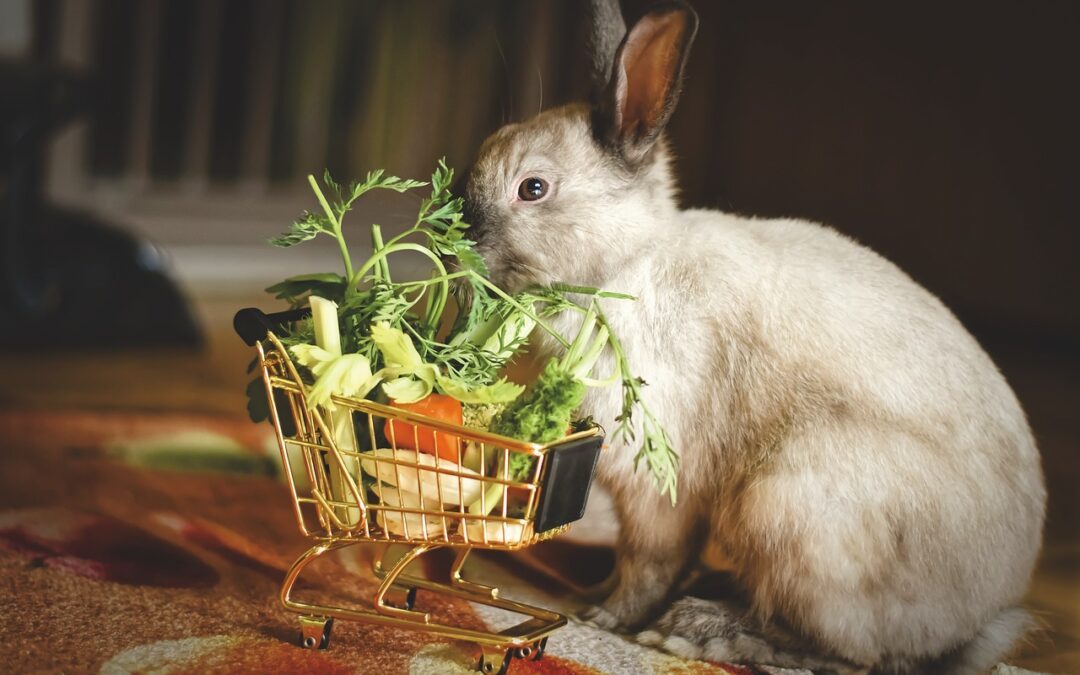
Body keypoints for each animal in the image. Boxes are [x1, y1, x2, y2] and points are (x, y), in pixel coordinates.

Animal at [457, 1, 1045, 669]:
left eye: (533, 188)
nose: (459, 239)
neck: (628, 265)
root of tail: (979, 618)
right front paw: (591, 595)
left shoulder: (658, 482)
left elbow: (649, 561)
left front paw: (602, 615)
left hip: (787, 507)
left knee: (848, 651)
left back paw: (699, 629)